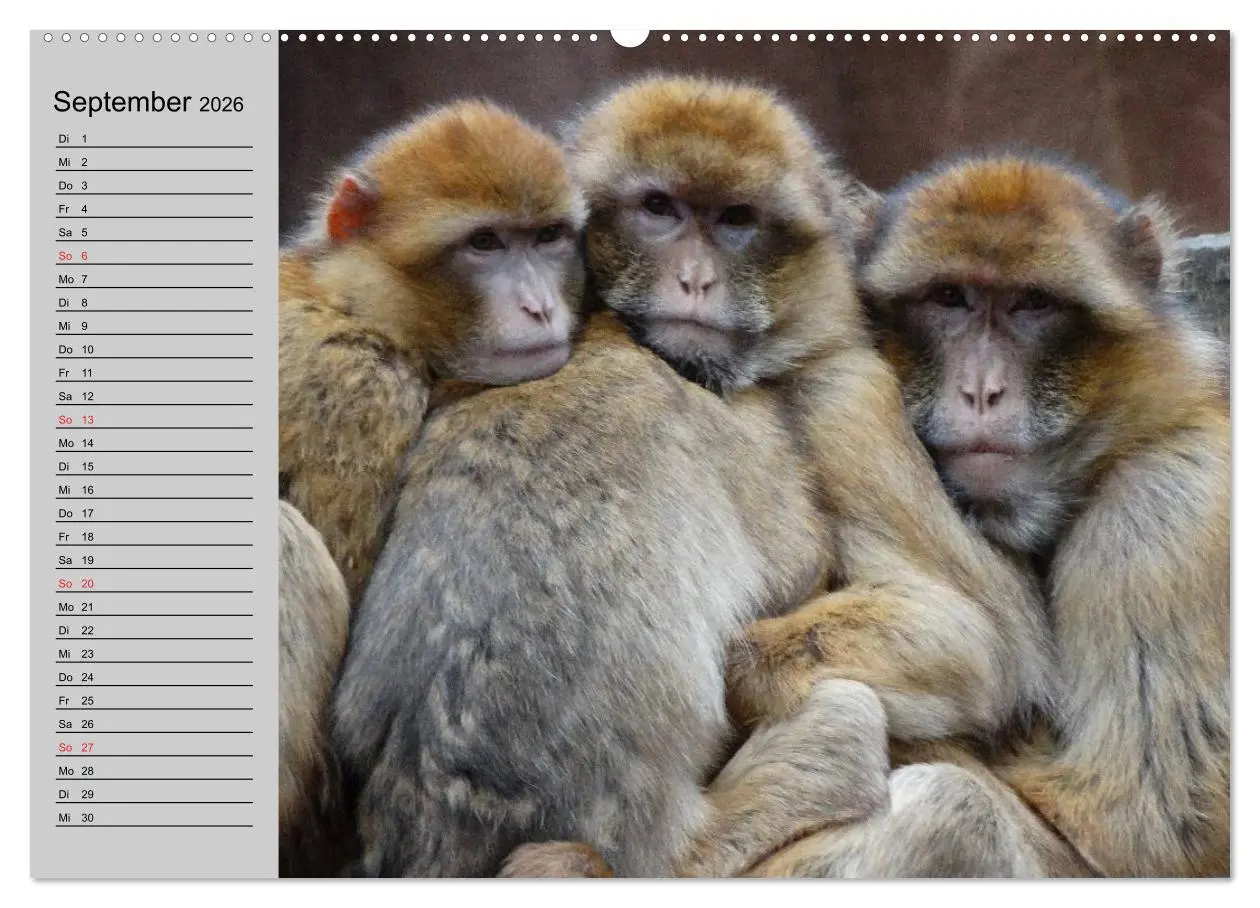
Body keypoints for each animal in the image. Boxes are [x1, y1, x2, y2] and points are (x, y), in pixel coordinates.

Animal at [729, 154, 1229, 877]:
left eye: (1033, 304)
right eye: (951, 298)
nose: (981, 390)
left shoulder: (1168, 506)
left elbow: (1134, 832)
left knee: (957, 808)